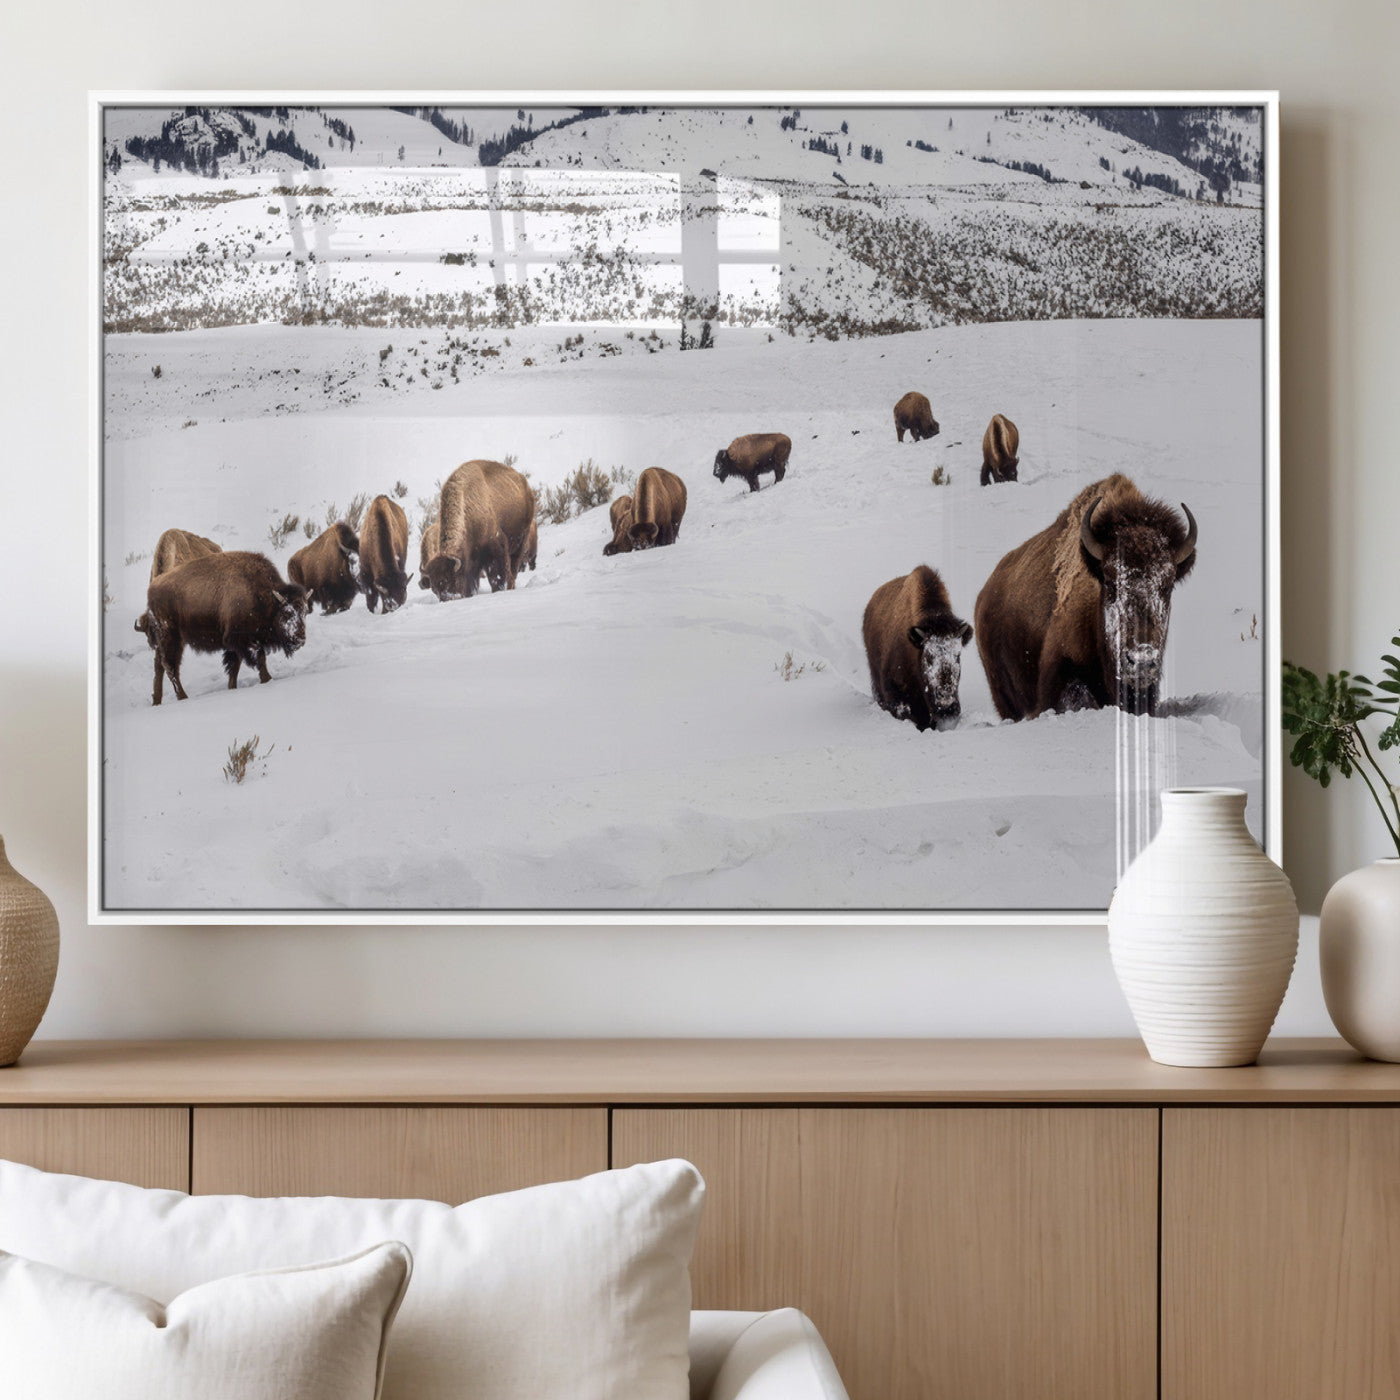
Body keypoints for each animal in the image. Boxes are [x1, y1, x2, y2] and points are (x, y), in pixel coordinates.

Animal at [136, 551, 308, 705]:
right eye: (287, 613)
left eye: (305, 612)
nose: (300, 639)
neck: (262, 595)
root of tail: (152, 589)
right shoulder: (241, 639)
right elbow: (259, 658)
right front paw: (267, 679)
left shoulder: (235, 644)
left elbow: (234, 667)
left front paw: (232, 687)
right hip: (172, 638)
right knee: (170, 667)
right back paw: (183, 697)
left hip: (166, 642)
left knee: (159, 667)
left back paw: (157, 701)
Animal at [423, 459, 536, 601]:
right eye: (433, 589)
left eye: (452, 580)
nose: (447, 599)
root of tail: (524, 482)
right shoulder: (472, 562)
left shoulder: (495, 550)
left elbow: (496, 577)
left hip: (521, 540)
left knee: (514, 569)